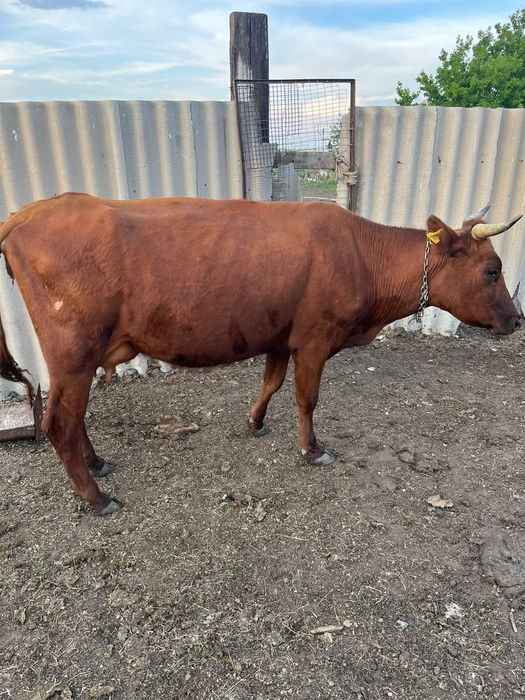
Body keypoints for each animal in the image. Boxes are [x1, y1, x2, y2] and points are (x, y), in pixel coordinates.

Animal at [0, 193, 522, 514]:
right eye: (493, 270)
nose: (517, 321)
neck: (360, 254)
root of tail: (27, 214)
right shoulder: (315, 338)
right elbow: (307, 398)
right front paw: (312, 449)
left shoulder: (280, 336)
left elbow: (271, 381)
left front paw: (255, 421)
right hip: (73, 351)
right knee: (59, 422)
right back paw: (96, 497)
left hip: (77, 358)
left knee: (74, 418)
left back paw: (97, 464)